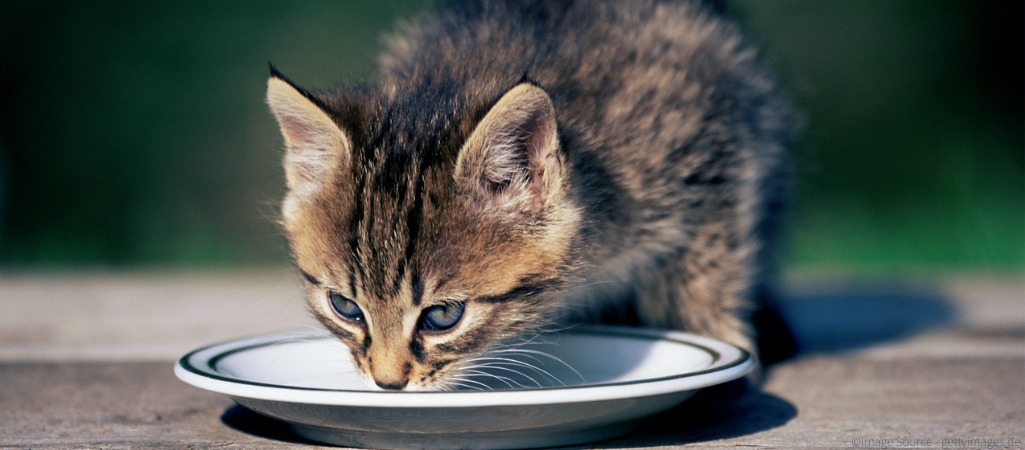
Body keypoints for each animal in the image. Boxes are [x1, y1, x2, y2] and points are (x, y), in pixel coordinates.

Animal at [264, 0, 791, 391]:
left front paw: (719, 344)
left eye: (442, 316)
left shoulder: (716, 151)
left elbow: (706, 273)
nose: (388, 384)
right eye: (346, 307)